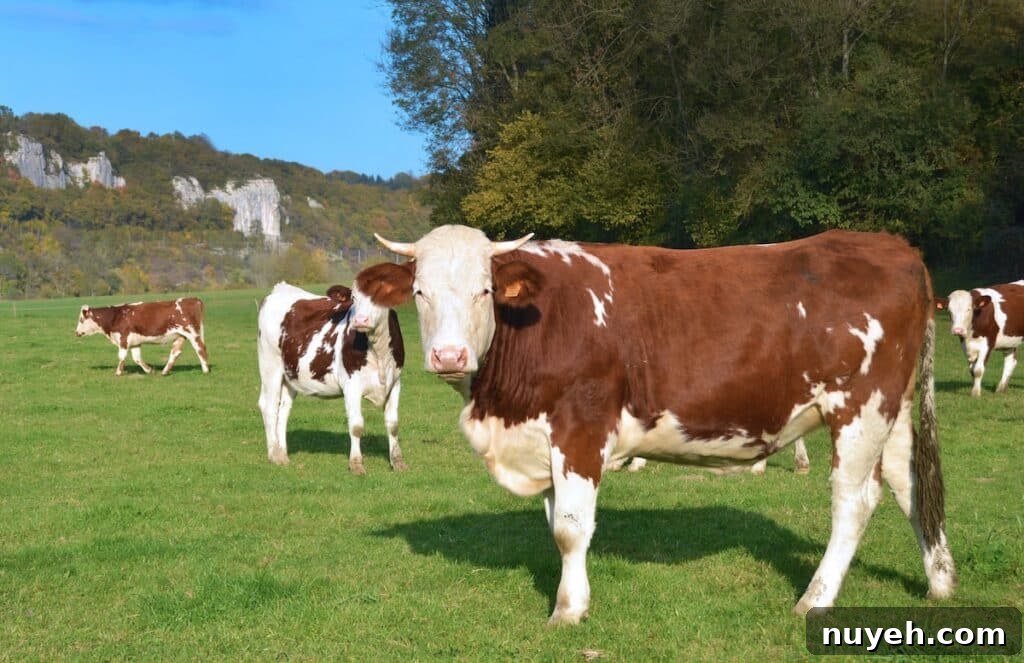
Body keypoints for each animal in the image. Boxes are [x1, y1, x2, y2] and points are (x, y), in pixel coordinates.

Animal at [74, 298, 210, 376]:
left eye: (81, 320)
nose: (76, 332)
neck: (116, 316)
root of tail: (193, 299)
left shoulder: (124, 338)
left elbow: (121, 356)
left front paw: (118, 372)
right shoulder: (135, 342)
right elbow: (137, 358)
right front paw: (149, 370)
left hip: (192, 333)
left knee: (200, 349)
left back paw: (205, 370)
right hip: (180, 335)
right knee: (175, 352)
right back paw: (164, 372)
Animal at [256, 281, 406, 475]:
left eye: (379, 296)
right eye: (354, 298)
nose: (360, 320)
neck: (378, 350)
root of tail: (281, 289)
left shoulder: (395, 382)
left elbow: (393, 425)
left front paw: (398, 462)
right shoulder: (351, 384)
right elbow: (356, 426)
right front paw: (356, 464)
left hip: (290, 375)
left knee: (283, 410)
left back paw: (282, 455)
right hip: (270, 365)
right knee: (269, 407)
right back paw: (274, 455)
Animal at [355, 225, 956, 625]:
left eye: (484, 290)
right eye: (420, 293)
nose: (449, 356)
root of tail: (893, 245)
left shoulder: (580, 425)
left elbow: (570, 528)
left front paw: (567, 611)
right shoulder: (542, 439)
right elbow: (556, 526)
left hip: (861, 406)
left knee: (854, 501)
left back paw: (816, 598)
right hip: (892, 410)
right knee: (909, 483)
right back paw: (940, 582)